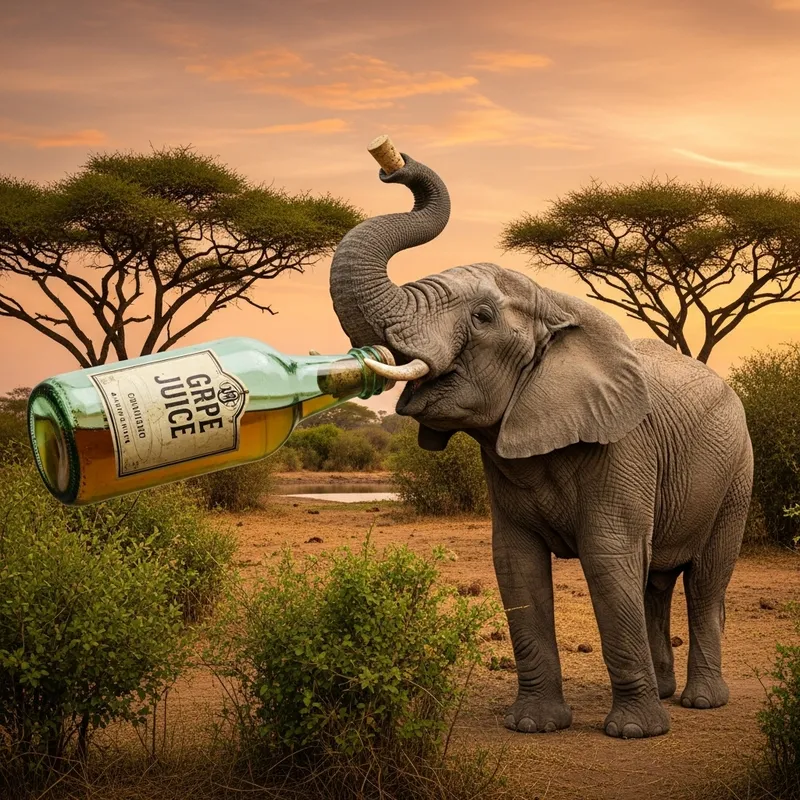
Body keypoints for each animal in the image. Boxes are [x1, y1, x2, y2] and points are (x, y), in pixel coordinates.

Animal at [328, 151, 754, 739]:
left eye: (482, 318)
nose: (394, 165)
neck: (554, 302)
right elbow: (517, 565)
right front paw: (532, 724)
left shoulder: (624, 445)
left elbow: (608, 557)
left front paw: (632, 733)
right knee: (655, 582)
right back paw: (666, 692)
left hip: (738, 472)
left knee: (706, 580)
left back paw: (700, 702)